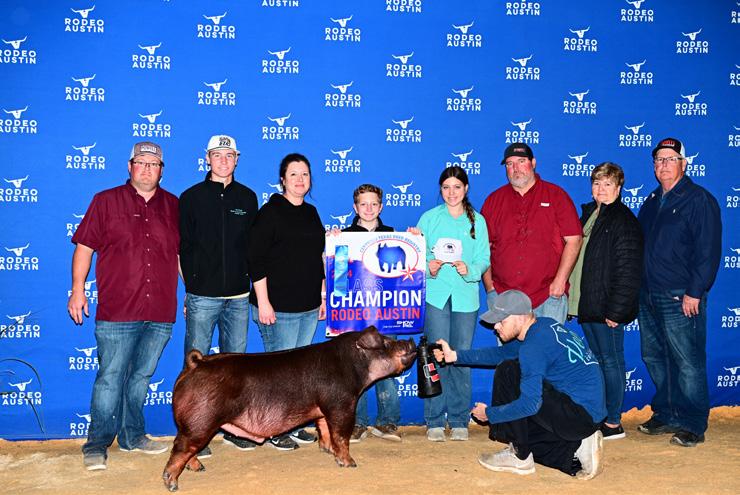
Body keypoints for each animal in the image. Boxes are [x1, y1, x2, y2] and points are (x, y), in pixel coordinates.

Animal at [162, 326, 417, 492]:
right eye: (386, 342)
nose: (413, 341)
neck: (353, 365)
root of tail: (195, 364)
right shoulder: (342, 404)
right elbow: (341, 435)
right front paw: (349, 463)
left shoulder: (323, 408)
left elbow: (324, 429)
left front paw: (327, 451)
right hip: (202, 420)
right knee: (181, 447)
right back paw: (172, 483)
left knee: (186, 447)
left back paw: (198, 468)